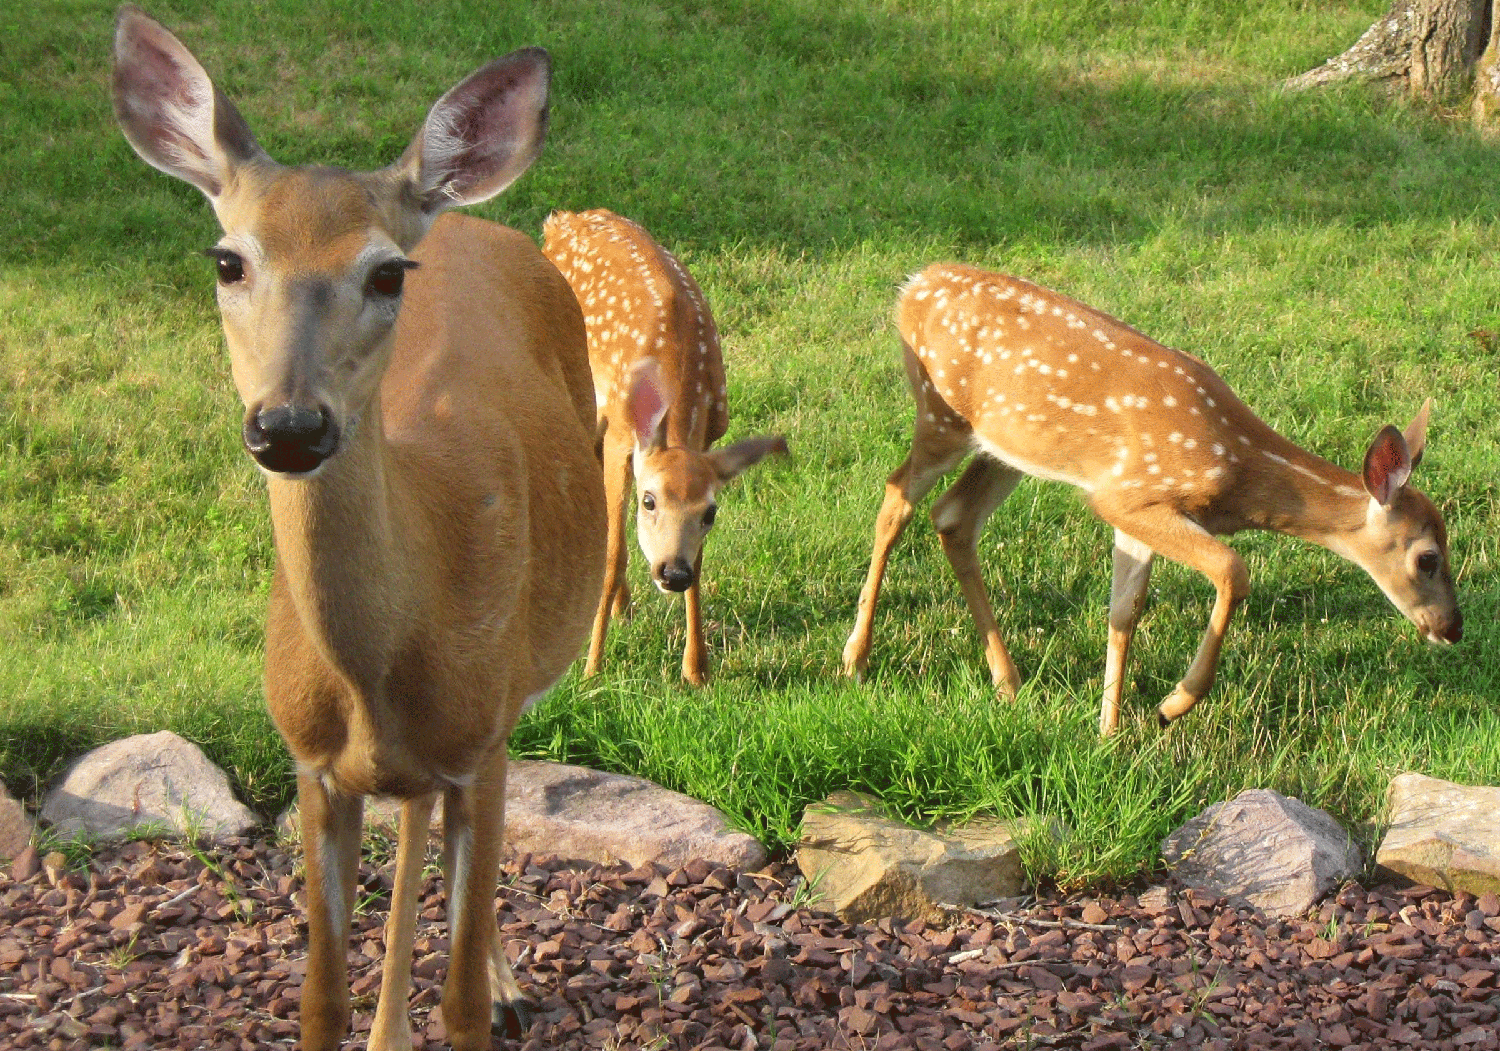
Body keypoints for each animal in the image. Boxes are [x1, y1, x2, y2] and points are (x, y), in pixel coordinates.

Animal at [111, 6, 603, 1043]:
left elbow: (458, 995)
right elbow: (319, 993)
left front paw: (481, 992)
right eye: (229, 260)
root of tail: (468, 218)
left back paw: (502, 981)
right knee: (410, 821)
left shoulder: (480, 741)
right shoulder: (310, 764)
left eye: (383, 274)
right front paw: (366, 1013)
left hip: (516, 694)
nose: (291, 425)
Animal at [546, 208, 792, 683]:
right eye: (649, 501)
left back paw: (623, 609)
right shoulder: (622, 438)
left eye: (710, 512)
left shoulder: (710, 440)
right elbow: (614, 553)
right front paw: (592, 668)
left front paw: (696, 669)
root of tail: (562, 219)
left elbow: (701, 560)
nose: (671, 573)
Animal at [846, 262, 1464, 734]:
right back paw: (856, 659)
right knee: (896, 498)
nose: (1452, 628)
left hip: (1003, 448)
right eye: (1427, 558)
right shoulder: (1129, 496)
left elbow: (1125, 609)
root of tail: (913, 285)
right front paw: (1172, 705)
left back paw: (1008, 681)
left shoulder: (1130, 507)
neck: (1236, 466)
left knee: (953, 517)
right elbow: (1233, 570)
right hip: (940, 415)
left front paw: (1109, 732)